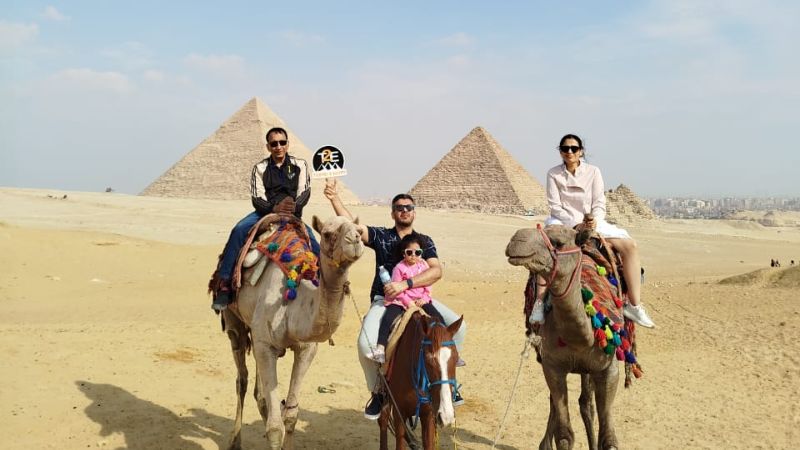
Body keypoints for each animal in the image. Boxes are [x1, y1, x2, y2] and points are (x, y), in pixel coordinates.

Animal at [222, 215, 366, 450]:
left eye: (360, 230)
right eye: (327, 233)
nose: (354, 239)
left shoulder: (306, 348)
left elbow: (290, 416)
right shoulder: (266, 345)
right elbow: (274, 427)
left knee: (260, 393)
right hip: (234, 321)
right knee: (241, 379)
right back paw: (235, 442)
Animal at [380, 312, 466, 450]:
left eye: (456, 357)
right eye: (428, 359)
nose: (446, 416)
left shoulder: (429, 415)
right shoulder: (399, 413)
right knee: (383, 417)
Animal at [504, 225, 620, 450]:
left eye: (558, 243)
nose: (516, 239)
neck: (584, 337)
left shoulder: (609, 368)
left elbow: (609, 440)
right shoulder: (553, 366)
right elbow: (565, 435)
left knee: (586, 404)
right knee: (560, 403)